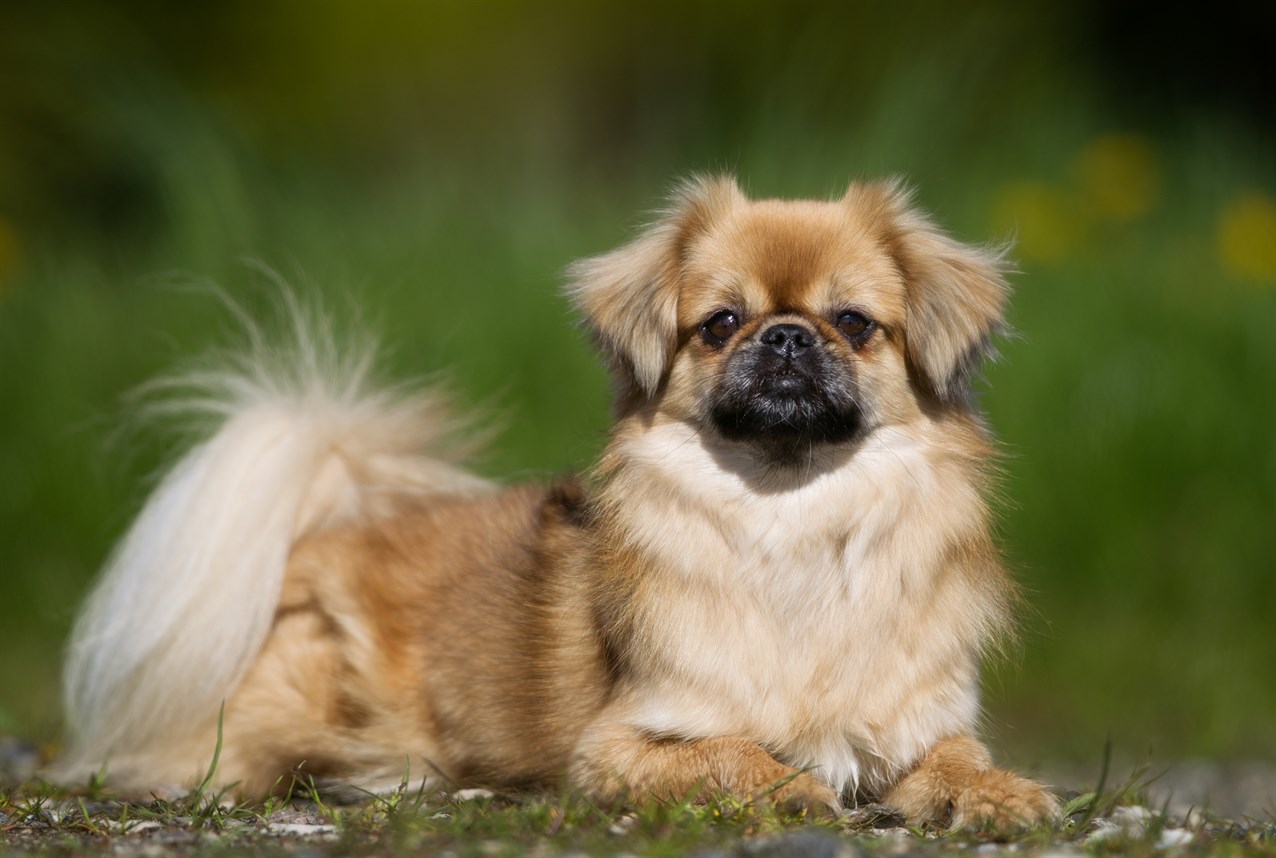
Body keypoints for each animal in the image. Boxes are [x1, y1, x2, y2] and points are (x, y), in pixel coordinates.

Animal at [52, 177, 1056, 827]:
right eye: (720, 324)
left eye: (852, 323)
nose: (784, 338)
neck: (793, 514)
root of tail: (325, 532)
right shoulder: (620, 746)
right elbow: (730, 753)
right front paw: (788, 785)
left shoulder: (922, 723)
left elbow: (959, 760)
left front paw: (1001, 794)